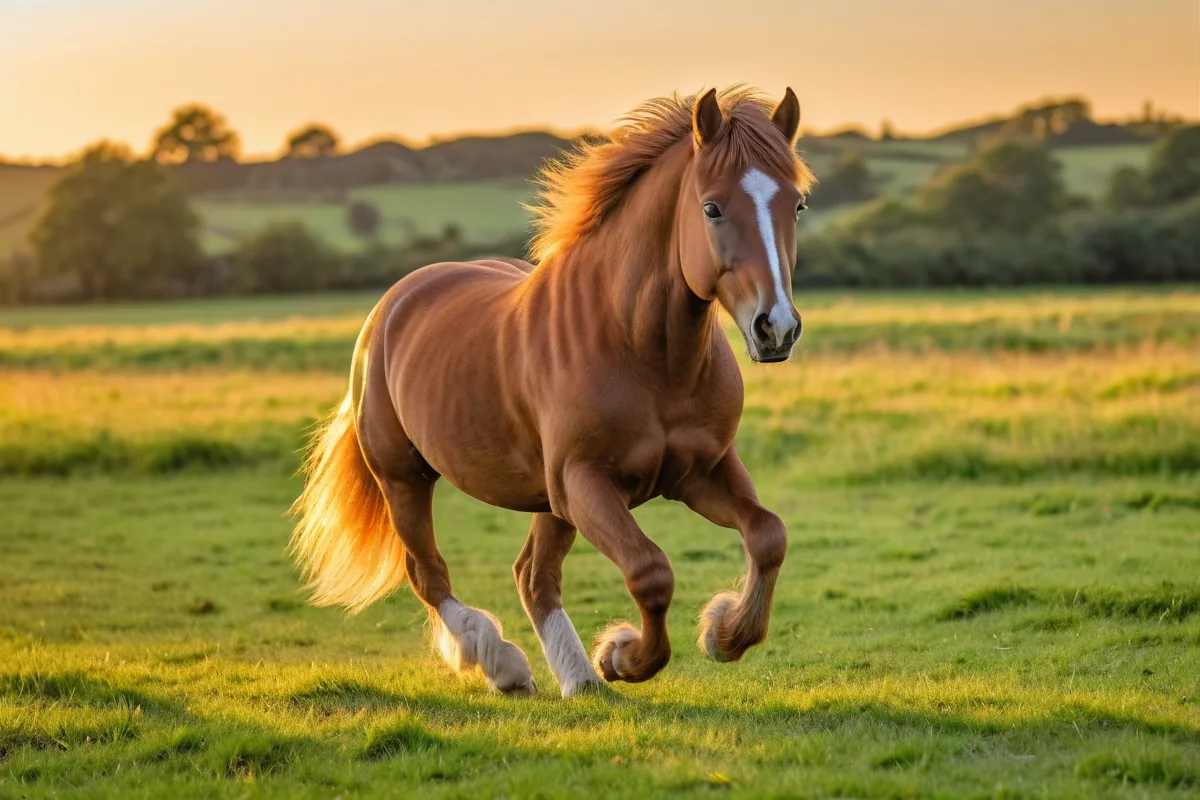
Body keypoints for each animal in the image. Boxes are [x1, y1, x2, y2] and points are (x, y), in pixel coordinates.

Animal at [289, 85, 816, 698]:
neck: (641, 349)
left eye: (796, 206)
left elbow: (768, 535)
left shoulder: (700, 472)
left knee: (532, 576)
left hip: (546, 500)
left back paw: (577, 679)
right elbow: (651, 572)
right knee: (429, 574)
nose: (775, 328)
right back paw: (504, 664)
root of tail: (391, 307)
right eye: (711, 208)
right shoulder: (585, 483)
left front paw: (723, 635)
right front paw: (623, 656)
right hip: (407, 479)